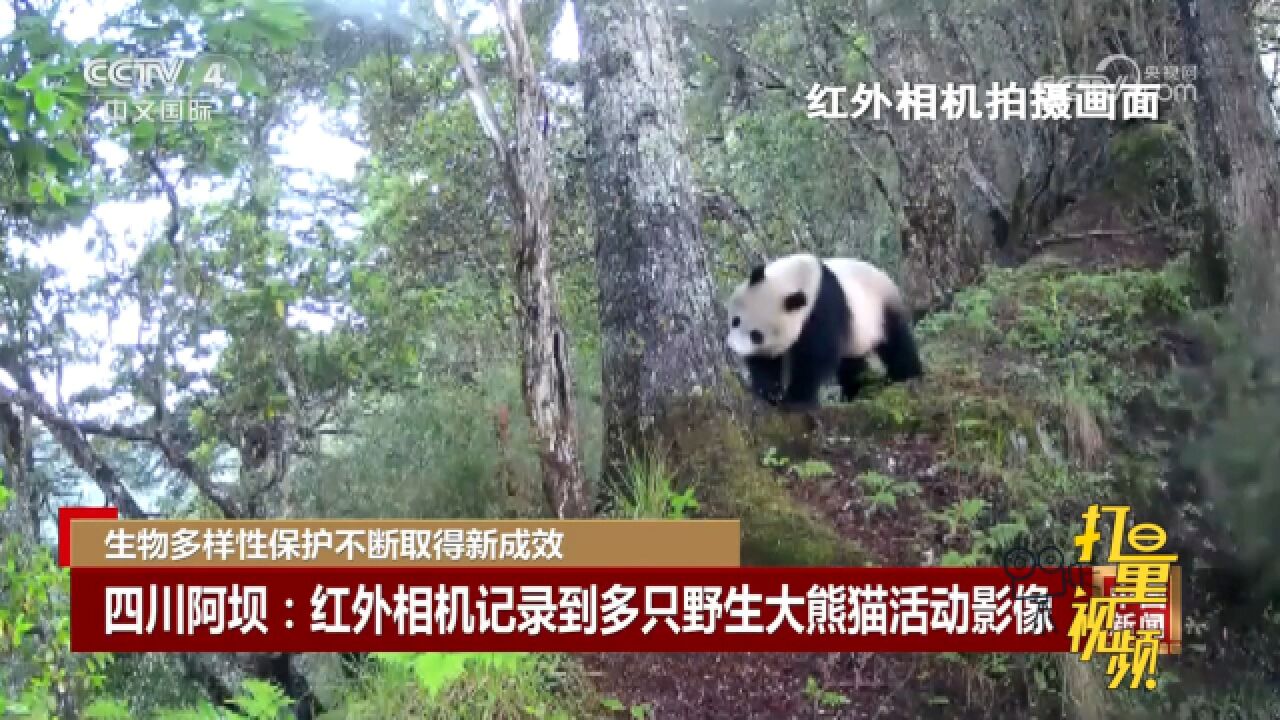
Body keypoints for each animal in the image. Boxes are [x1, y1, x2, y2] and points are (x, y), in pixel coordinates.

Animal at [727, 252, 926, 409]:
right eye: (736, 321)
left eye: (756, 335)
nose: (733, 347)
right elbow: (766, 360)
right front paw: (770, 393)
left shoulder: (822, 308)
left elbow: (816, 356)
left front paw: (796, 400)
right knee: (851, 364)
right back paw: (856, 391)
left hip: (880, 309)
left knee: (897, 343)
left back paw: (907, 376)